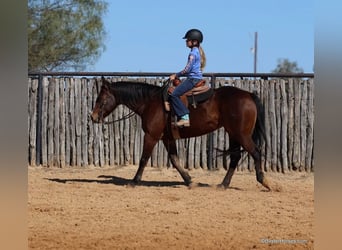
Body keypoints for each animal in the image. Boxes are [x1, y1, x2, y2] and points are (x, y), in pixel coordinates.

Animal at [91, 77, 272, 190]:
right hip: (233, 134)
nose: (93, 117)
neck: (150, 102)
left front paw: (134, 181)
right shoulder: (167, 138)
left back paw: (265, 182)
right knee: (235, 157)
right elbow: (175, 160)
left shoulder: (151, 136)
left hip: (242, 135)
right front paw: (190, 181)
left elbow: (143, 159)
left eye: (100, 99)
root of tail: (248, 95)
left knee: (256, 152)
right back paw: (223, 184)